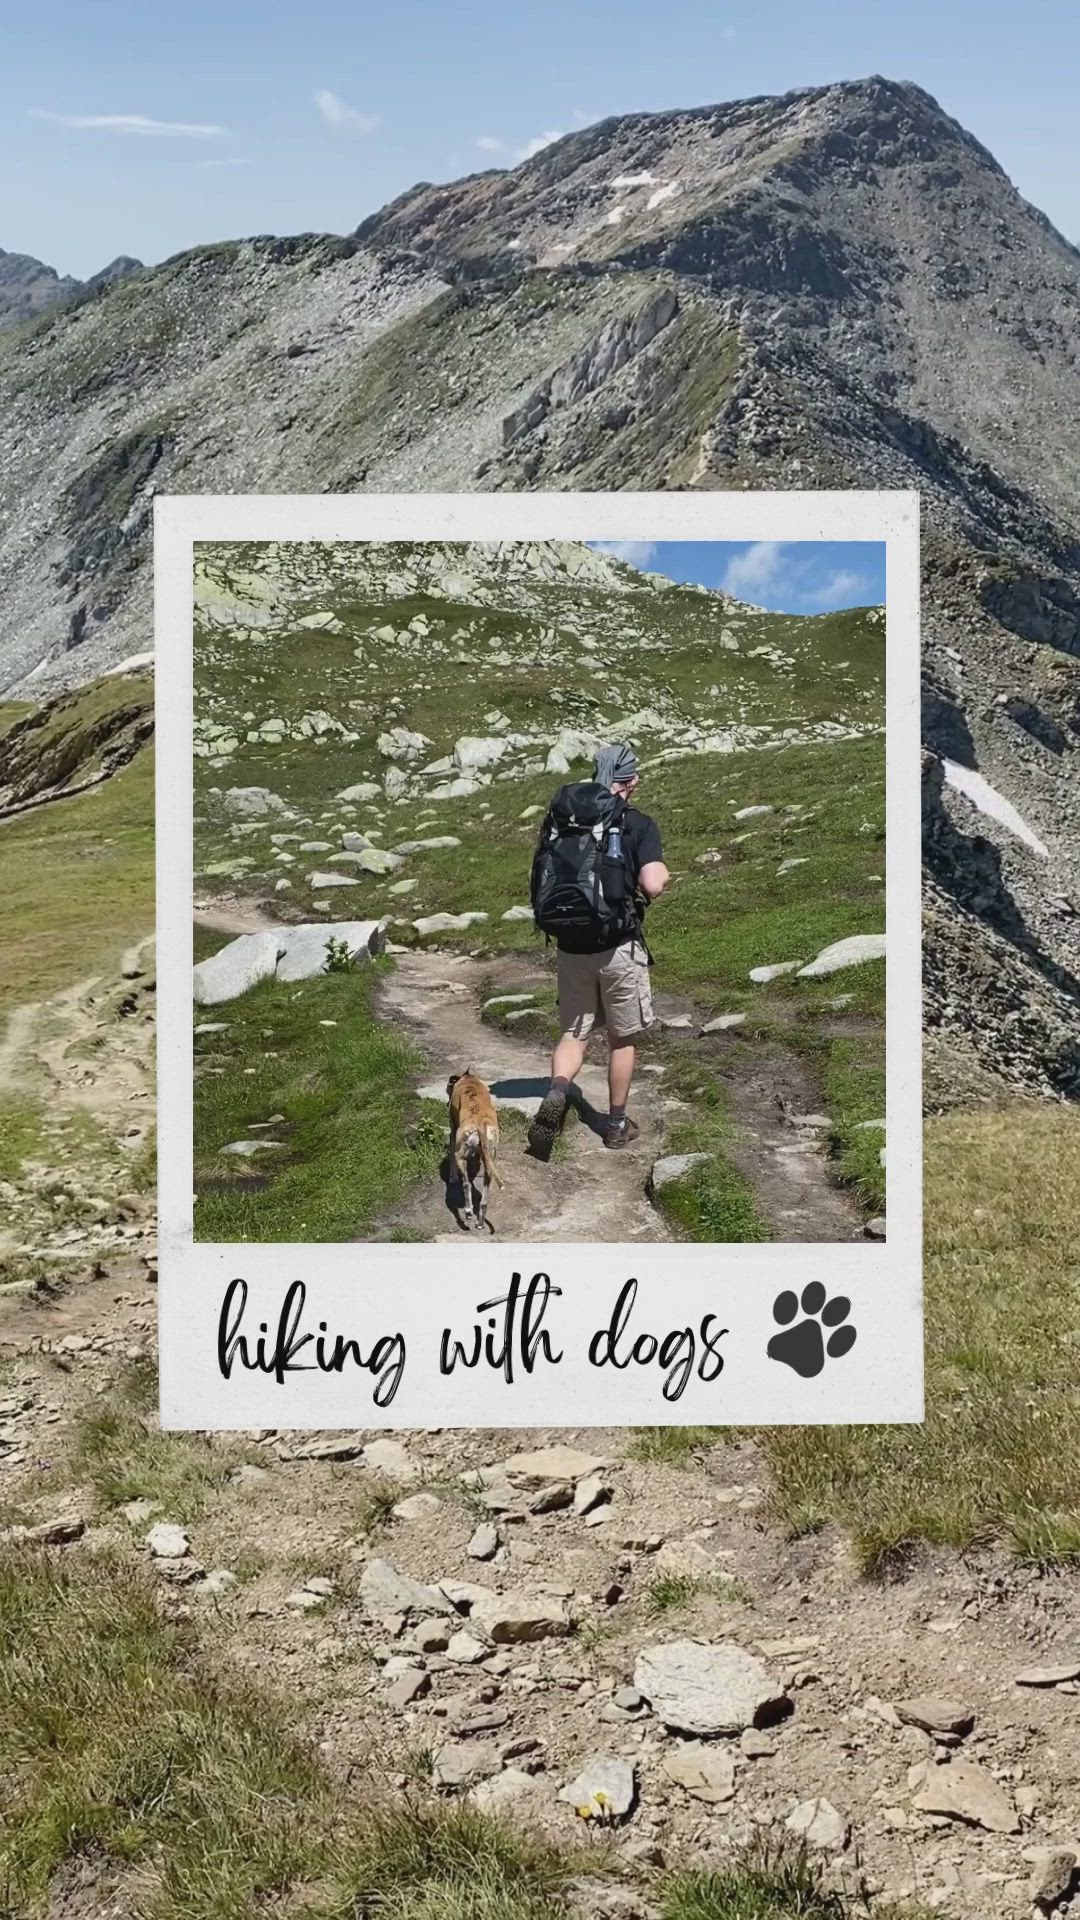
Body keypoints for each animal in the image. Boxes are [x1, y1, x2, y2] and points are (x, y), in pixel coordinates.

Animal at [441, 1067, 499, 1228]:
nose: (446, 1103)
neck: (468, 1079)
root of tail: (479, 1124)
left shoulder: (453, 1132)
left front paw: (453, 1178)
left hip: (461, 1156)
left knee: (466, 1184)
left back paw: (467, 1211)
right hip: (489, 1166)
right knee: (484, 1200)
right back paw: (480, 1222)